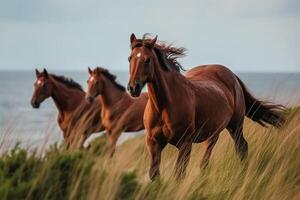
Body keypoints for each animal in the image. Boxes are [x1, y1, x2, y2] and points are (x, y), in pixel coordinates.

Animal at [127, 33, 286, 180]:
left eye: (147, 60)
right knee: (206, 160)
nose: (133, 88)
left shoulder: (185, 144)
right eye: (130, 58)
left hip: (236, 126)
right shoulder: (153, 143)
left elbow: (179, 174)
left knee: (241, 147)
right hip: (213, 133)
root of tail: (232, 76)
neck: (164, 105)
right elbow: (154, 174)